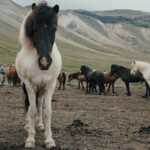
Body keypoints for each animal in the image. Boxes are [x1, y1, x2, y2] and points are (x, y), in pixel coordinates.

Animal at [15, 1, 61, 148]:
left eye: (54, 29)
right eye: (34, 29)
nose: (45, 62)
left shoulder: (50, 85)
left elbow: (47, 111)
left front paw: (49, 139)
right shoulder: (29, 85)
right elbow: (32, 109)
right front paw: (30, 139)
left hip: (42, 88)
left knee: (39, 103)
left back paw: (39, 125)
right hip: (27, 86)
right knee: (29, 105)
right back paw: (28, 125)